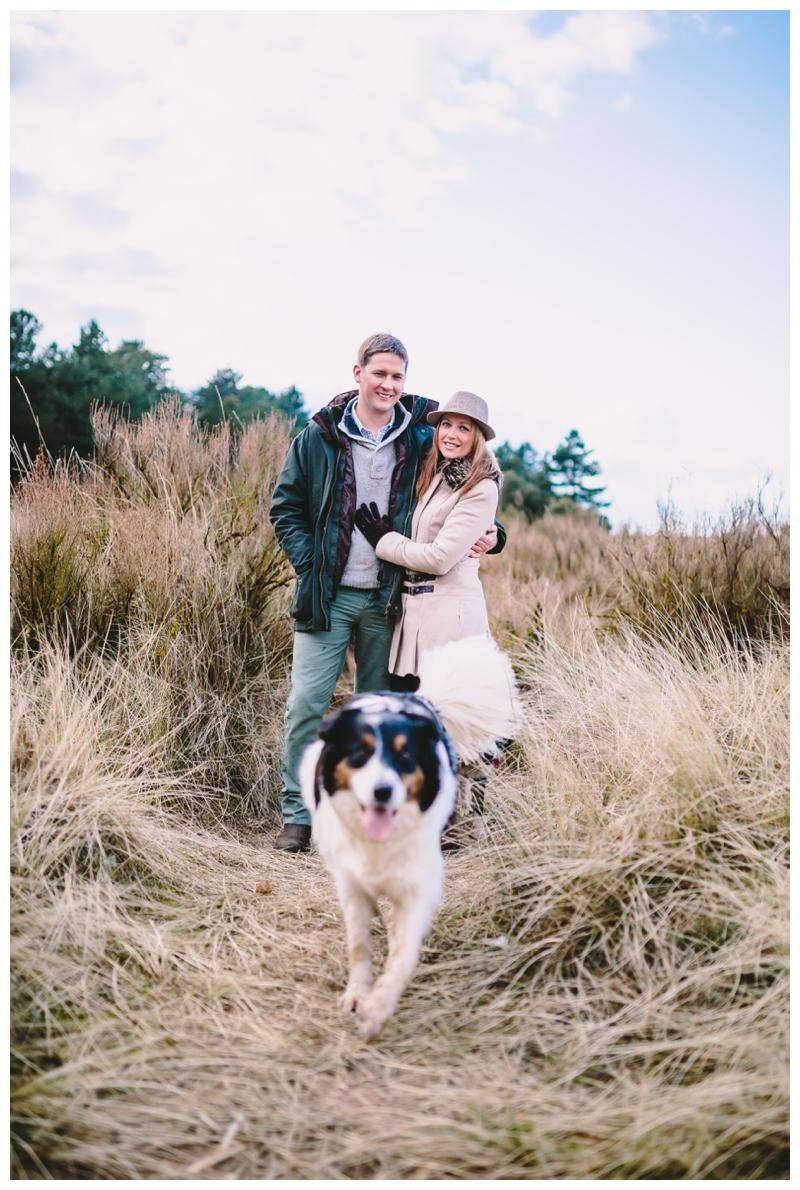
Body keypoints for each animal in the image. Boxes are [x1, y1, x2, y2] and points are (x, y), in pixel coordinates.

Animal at [300, 637, 519, 1037]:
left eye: (406, 757)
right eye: (359, 753)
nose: (383, 791)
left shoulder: (418, 886)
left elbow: (403, 954)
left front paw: (377, 1007)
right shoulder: (351, 884)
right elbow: (359, 944)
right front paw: (357, 995)